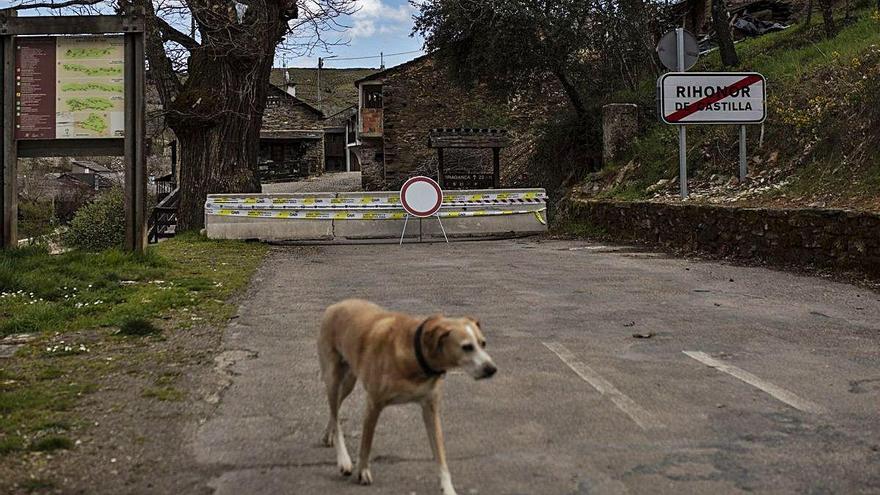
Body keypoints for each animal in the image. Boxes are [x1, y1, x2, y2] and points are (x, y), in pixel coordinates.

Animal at [316, 298, 496, 495]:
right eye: (467, 347)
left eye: (483, 343)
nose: (492, 369)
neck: (417, 353)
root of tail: (337, 305)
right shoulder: (373, 404)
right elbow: (366, 444)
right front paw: (362, 471)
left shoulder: (430, 409)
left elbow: (440, 455)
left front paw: (448, 489)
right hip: (333, 378)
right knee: (335, 411)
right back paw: (344, 459)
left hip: (349, 381)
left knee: (335, 410)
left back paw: (328, 434)